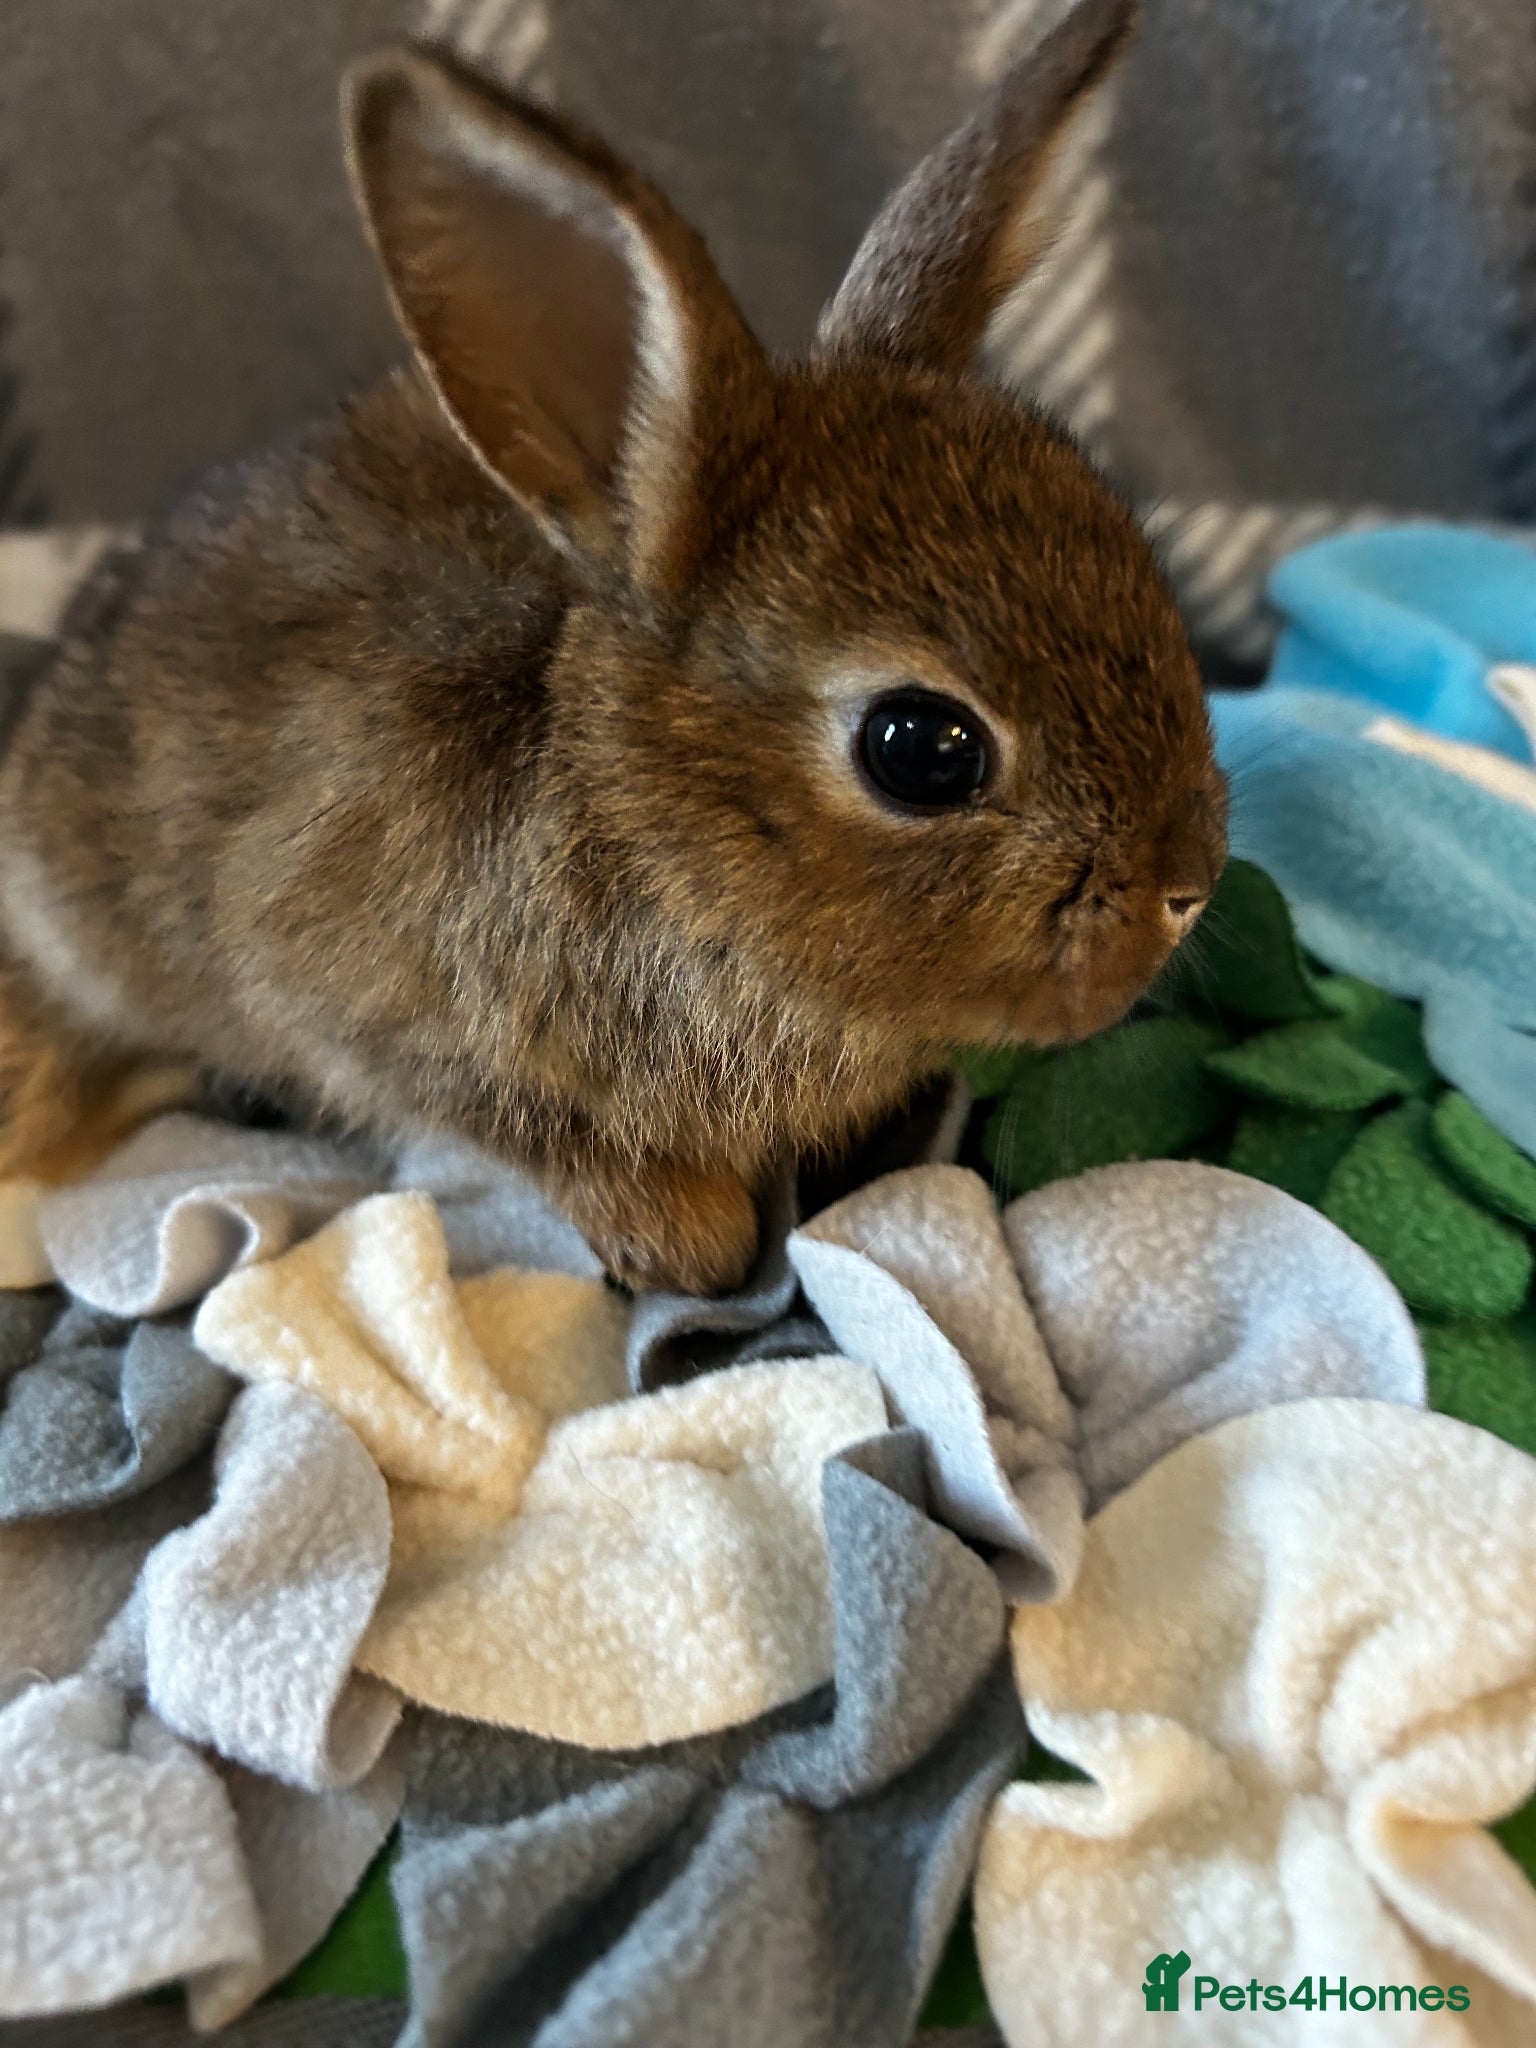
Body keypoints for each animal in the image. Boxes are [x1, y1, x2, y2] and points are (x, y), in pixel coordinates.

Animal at [0, 0, 1225, 1295]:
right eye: (924, 749)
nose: (1185, 887)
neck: (644, 825)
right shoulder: (374, 1014)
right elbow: (534, 1128)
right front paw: (691, 1238)